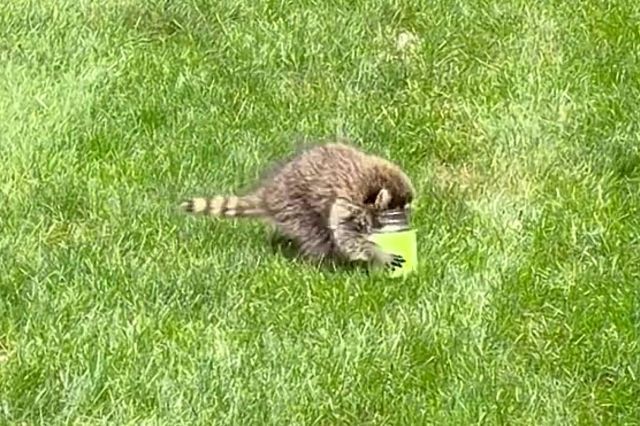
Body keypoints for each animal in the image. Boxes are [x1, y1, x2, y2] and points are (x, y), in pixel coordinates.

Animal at [180, 139, 415, 270]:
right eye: (392, 213)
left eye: (406, 211)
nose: (404, 225)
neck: (370, 185)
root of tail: (270, 194)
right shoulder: (346, 201)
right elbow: (346, 235)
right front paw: (377, 253)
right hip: (294, 206)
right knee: (315, 233)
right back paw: (323, 262)